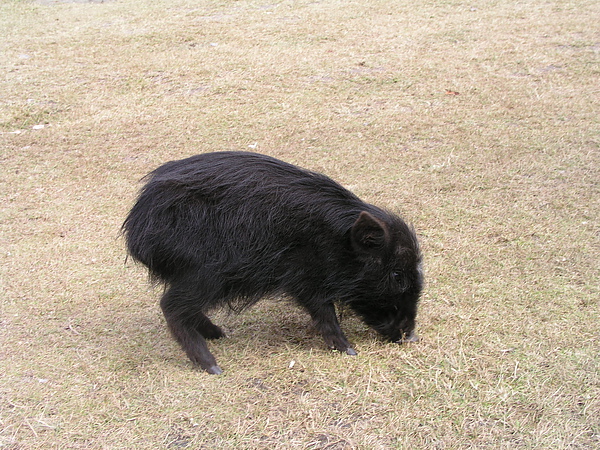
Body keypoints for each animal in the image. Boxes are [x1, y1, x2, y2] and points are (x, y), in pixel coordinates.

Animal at [122, 151, 422, 372]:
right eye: (397, 275)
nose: (411, 336)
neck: (332, 240)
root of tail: (135, 226)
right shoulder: (305, 278)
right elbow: (325, 312)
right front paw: (349, 350)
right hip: (205, 274)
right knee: (171, 306)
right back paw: (213, 367)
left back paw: (220, 334)